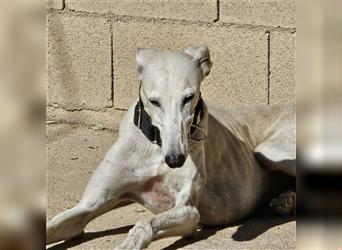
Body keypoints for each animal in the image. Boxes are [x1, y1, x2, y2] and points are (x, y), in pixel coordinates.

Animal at [46, 46, 296, 249]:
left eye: (189, 97)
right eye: (154, 101)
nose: (175, 159)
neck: (155, 147)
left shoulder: (189, 212)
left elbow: (146, 222)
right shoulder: (90, 204)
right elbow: (56, 224)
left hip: (269, 151)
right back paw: (286, 201)